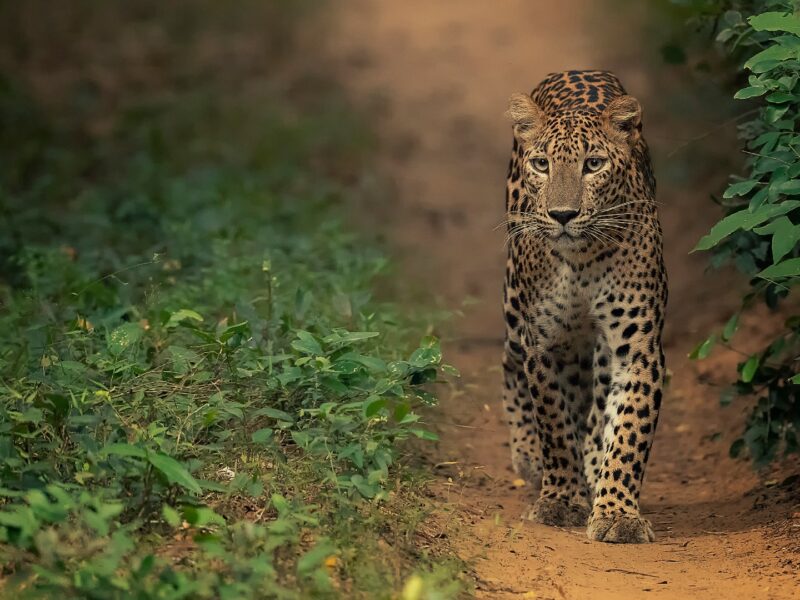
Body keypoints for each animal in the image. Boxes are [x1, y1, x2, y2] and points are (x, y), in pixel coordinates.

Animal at [501, 70, 667, 544]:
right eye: (542, 165)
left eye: (593, 164)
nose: (562, 214)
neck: (582, 260)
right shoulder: (543, 344)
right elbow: (555, 426)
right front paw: (559, 499)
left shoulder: (638, 347)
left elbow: (628, 430)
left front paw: (617, 514)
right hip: (514, 310)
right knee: (508, 363)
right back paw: (528, 457)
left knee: (596, 404)